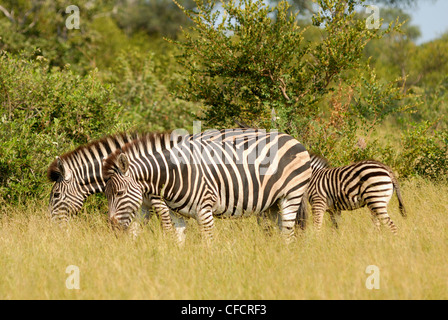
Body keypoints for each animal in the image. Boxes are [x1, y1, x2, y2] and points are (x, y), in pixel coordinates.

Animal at [101, 127, 312, 240]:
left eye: (119, 193)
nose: (112, 227)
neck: (173, 174)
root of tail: (292, 138)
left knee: (287, 233)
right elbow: (176, 241)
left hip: (291, 195)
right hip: (272, 203)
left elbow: (207, 245)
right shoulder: (172, 212)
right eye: (107, 195)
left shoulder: (203, 211)